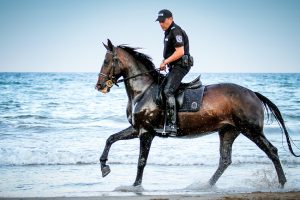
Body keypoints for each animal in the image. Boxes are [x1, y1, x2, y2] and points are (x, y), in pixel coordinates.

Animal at [95, 39, 298, 188]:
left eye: (106, 61)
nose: (99, 86)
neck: (143, 90)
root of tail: (253, 93)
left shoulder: (146, 132)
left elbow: (141, 161)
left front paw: (135, 186)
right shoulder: (137, 129)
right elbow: (110, 138)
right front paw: (104, 167)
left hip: (252, 130)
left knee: (272, 151)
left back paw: (282, 184)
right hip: (228, 131)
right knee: (225, 160)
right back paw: (206, 186)